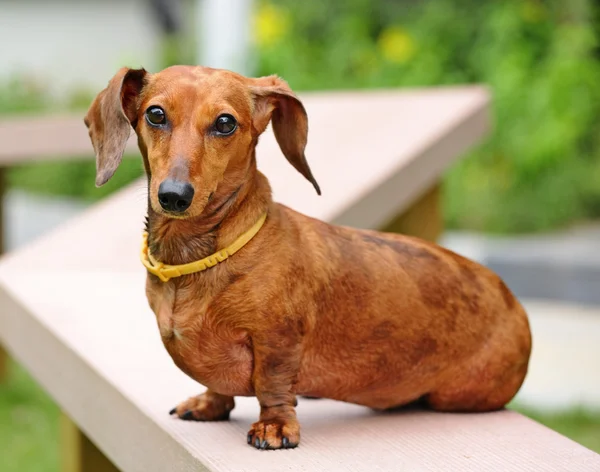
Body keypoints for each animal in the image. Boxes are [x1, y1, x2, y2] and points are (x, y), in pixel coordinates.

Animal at [84, 65, 528, 450]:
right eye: (155, 114)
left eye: (225, 123)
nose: (174, 195)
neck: (195, 260)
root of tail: (513, 301)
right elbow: (219, 387)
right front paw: (210, 403)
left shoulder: (277, 340)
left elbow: (273, 384)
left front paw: (275, 426)